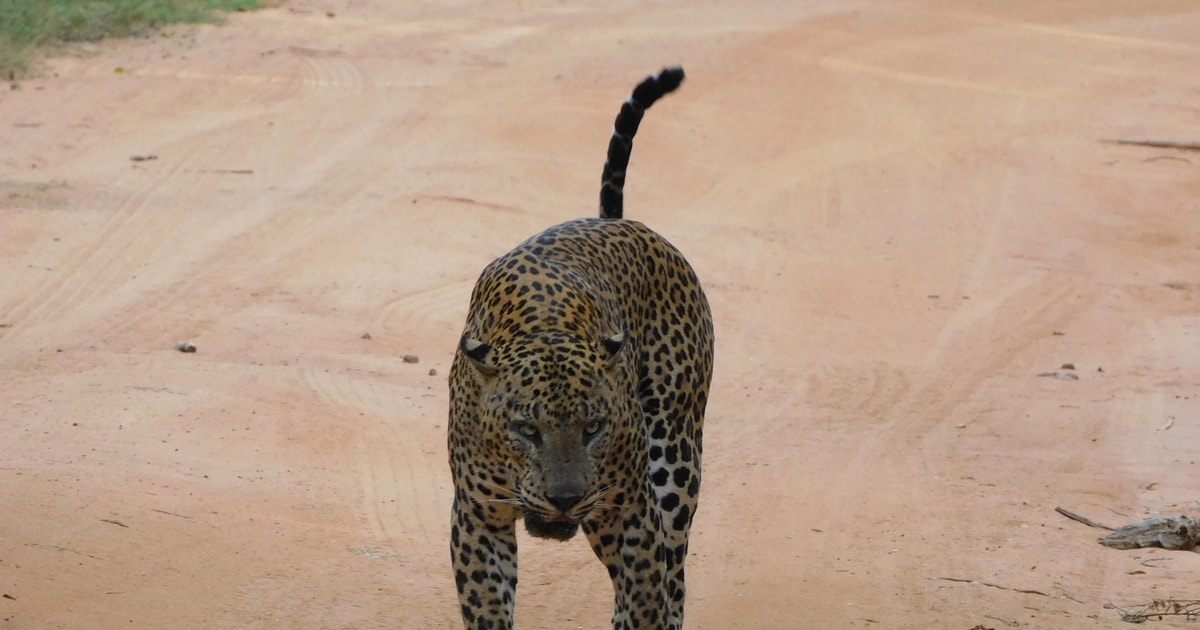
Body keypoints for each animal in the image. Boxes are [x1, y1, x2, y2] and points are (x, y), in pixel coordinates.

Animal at [448, 68, 710, 628]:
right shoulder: (478, 516)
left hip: (674, 463)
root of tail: (616, 222)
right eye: (526, 430)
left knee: (673, 572)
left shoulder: (631, 511)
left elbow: (647, 594)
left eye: (593, 428)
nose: (564, 499)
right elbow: (487, 607)